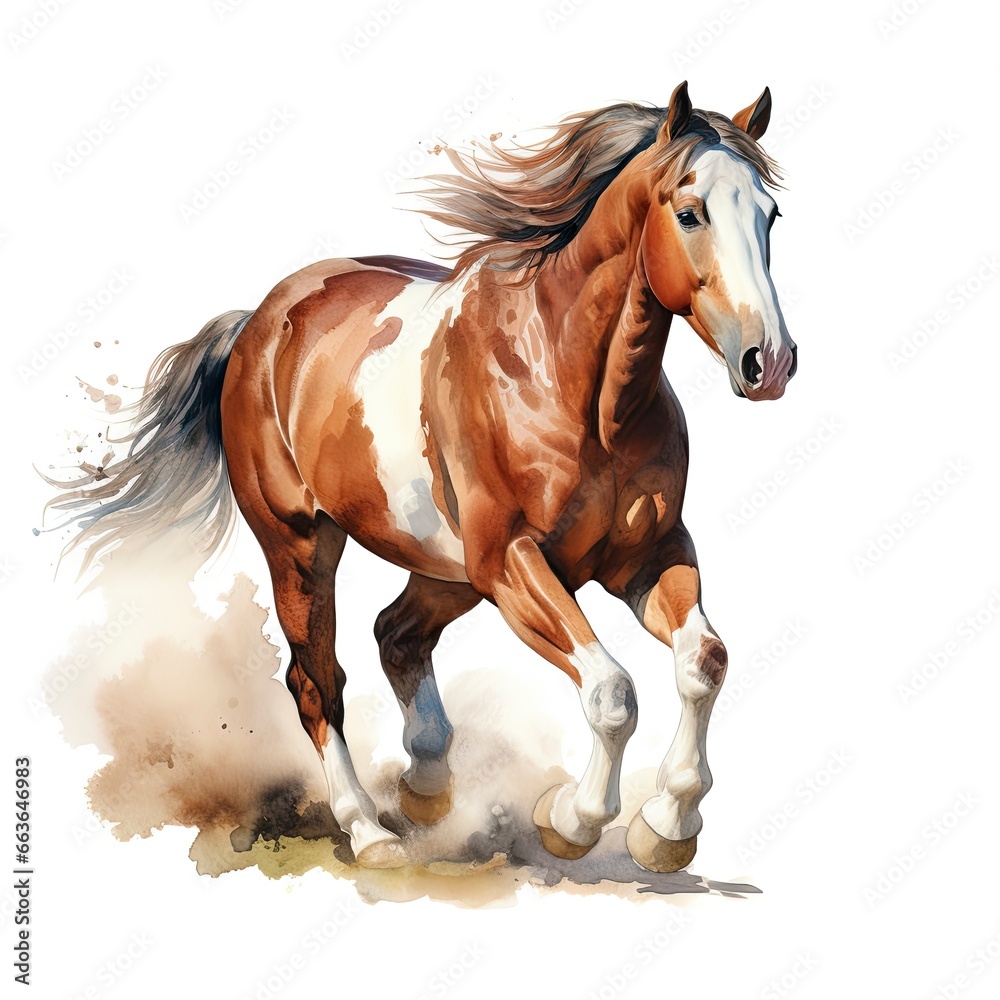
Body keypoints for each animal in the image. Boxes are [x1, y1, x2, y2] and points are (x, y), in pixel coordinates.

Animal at [50, 82, 796, 873]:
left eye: (770, 214)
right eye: (690, 212)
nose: (770, 362)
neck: (577, 391)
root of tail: (259, 321)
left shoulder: (648, 557)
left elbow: (704, 661)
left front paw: (667, 826)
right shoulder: (510, 561)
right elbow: (612, 692)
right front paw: (574, 819)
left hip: (445, 569)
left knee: (396, 633)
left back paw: (426, 788)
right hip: (304, 546)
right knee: (317, 680)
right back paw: (371, 832)